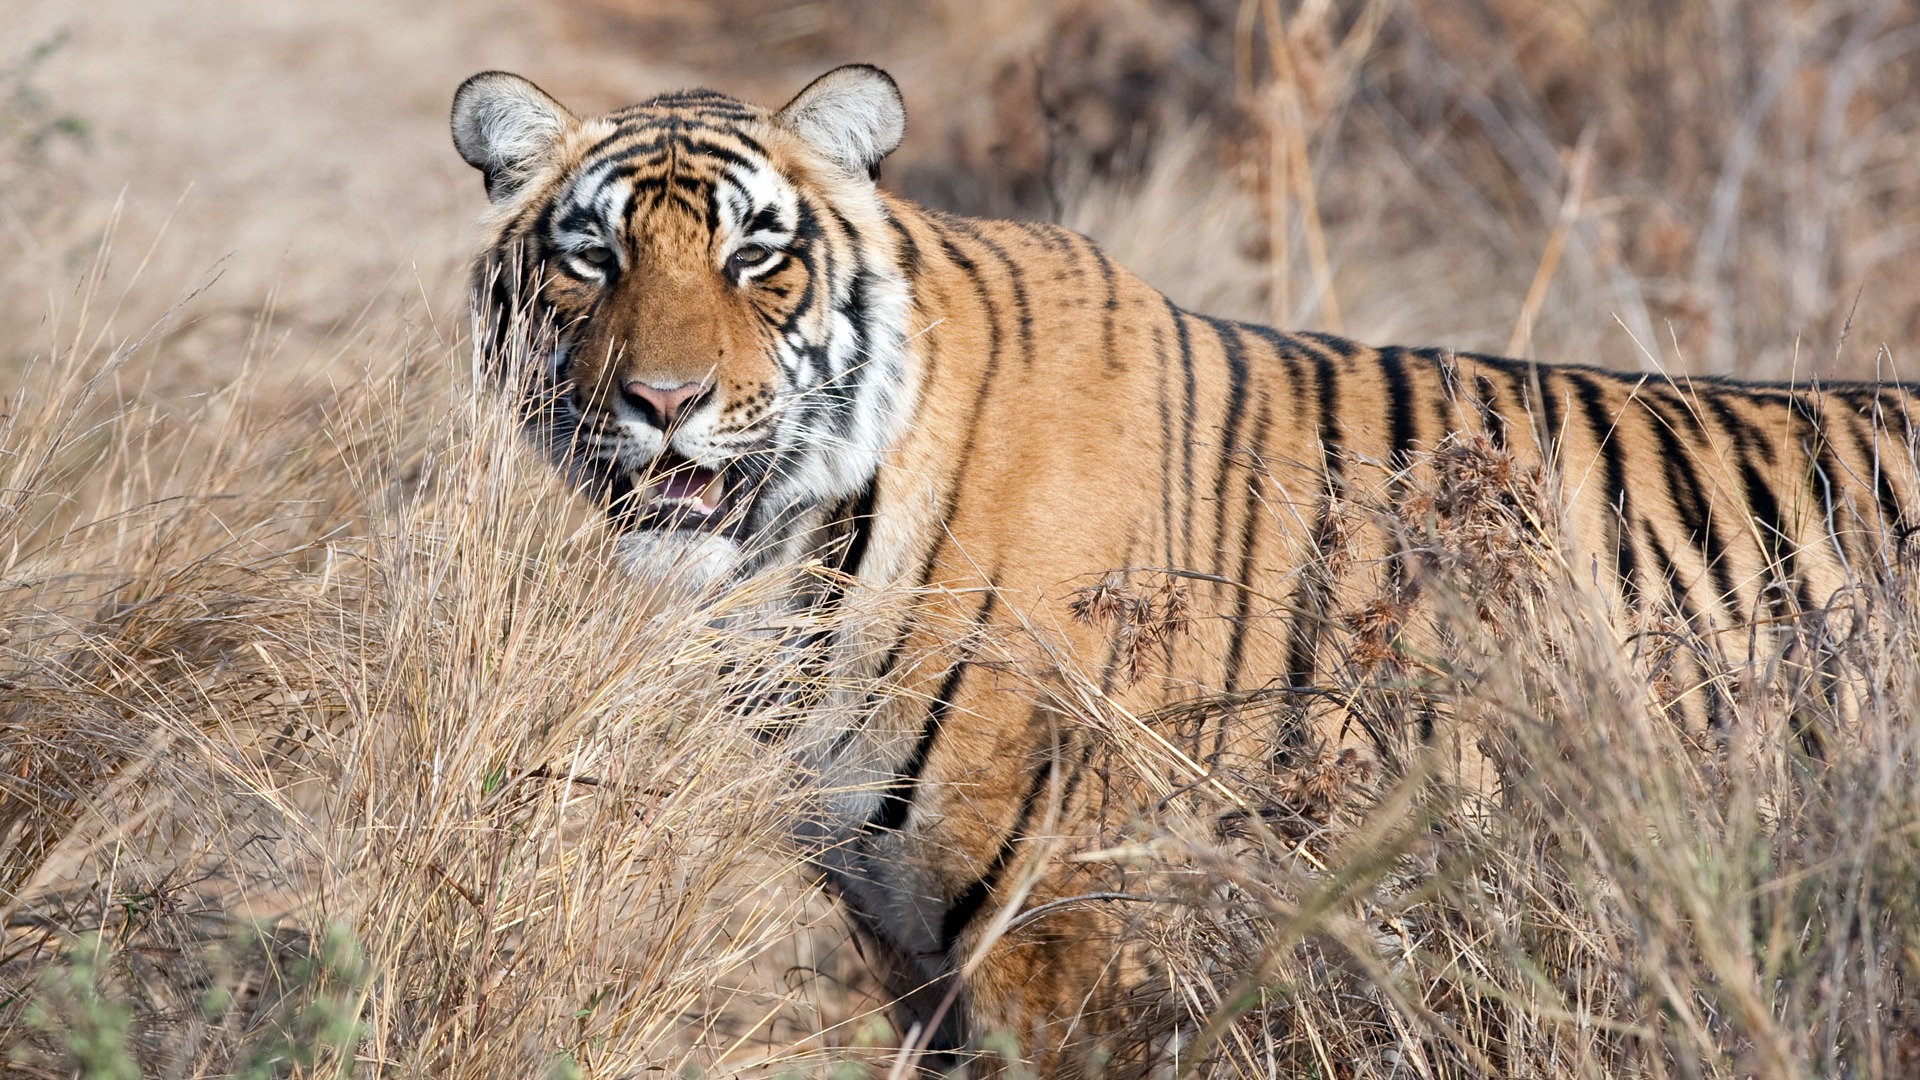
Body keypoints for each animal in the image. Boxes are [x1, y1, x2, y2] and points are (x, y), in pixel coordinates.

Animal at [453, 65, 1920, 1068]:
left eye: (758, 256)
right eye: (590, 258)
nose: (663, 401)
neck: (798, 573)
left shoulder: (1064, 937)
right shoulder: (904, 946)